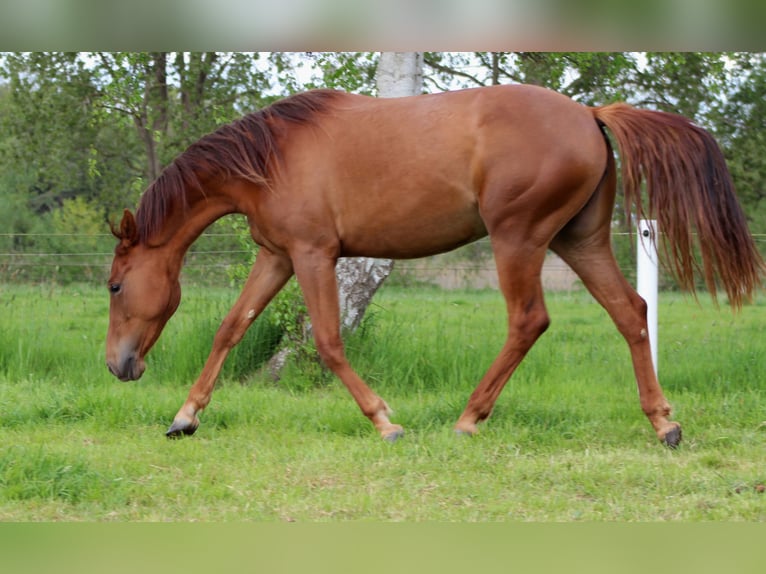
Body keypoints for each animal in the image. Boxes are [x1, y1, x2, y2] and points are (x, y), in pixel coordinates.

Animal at [106, 84, 763, 447]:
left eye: (114, 285)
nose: (118, 366)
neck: (272, 158)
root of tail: (589, 113)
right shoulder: (277, 256)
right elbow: (231, 328)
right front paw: (184, 418)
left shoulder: (313, 255)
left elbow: (328, 340)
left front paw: (384, 422)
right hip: (581, 241)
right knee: (631, 312)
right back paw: (664, 425)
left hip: (518, 239)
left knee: (529, 321)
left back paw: (469, 419)